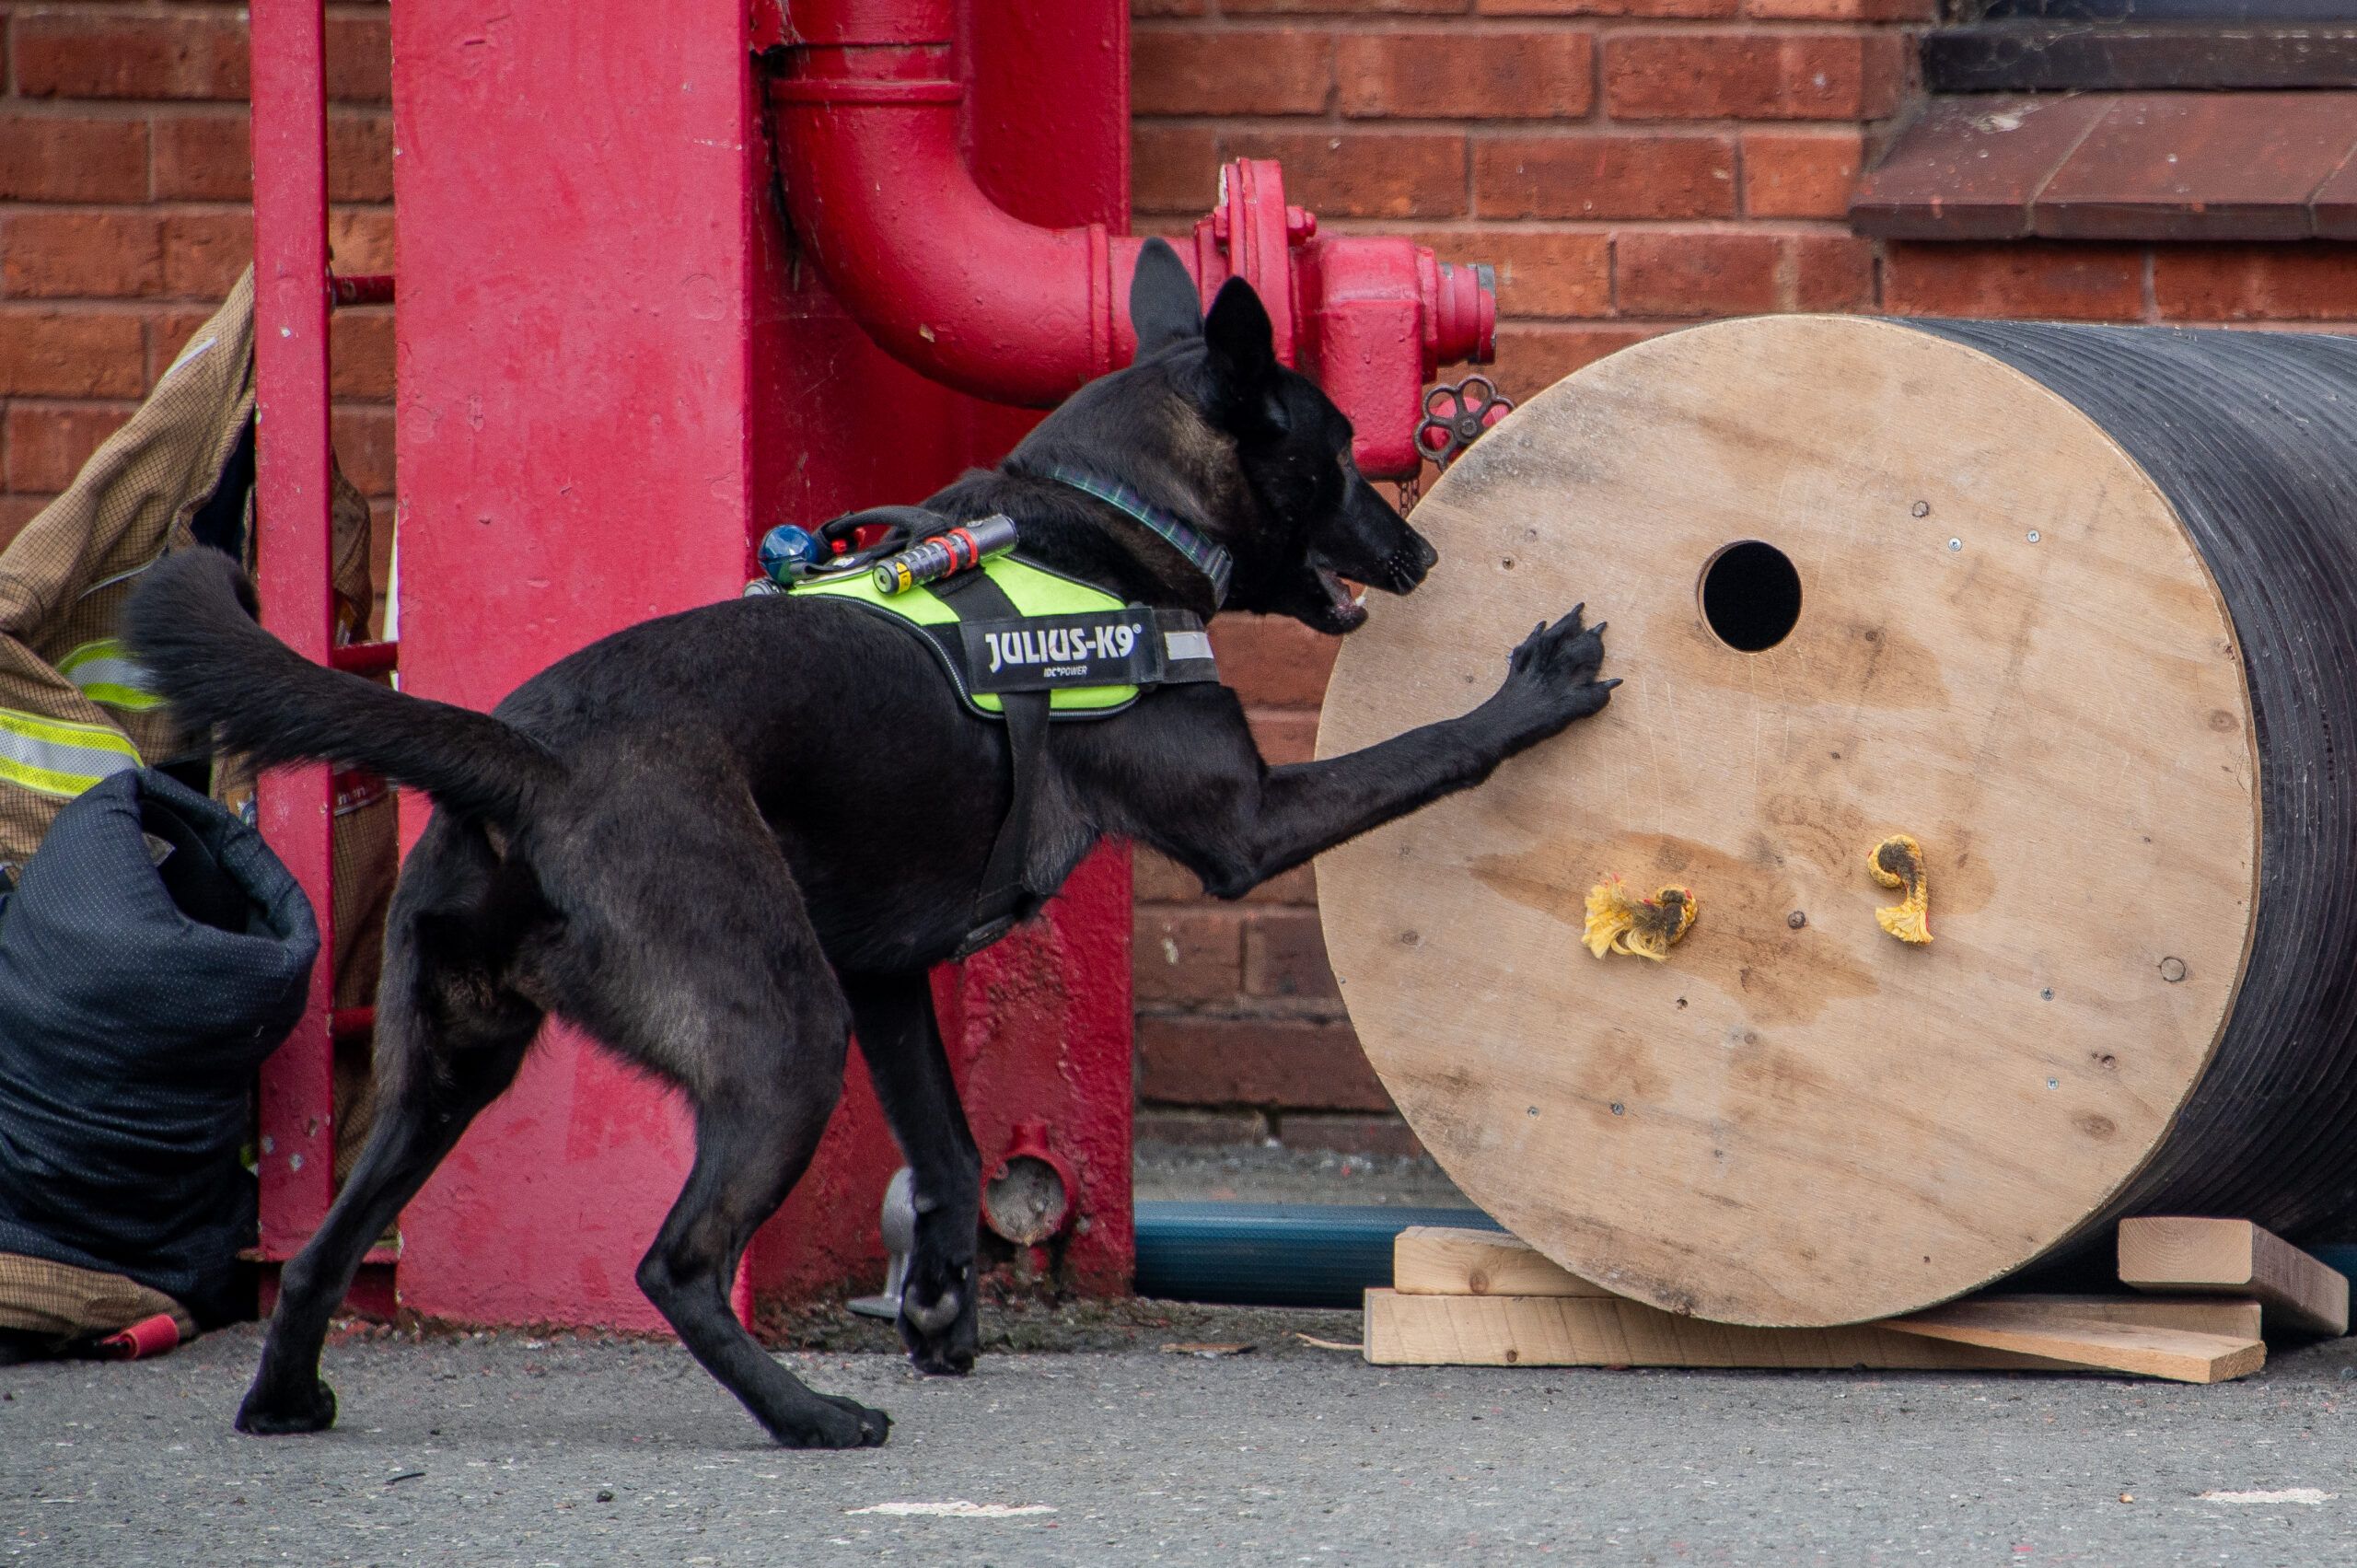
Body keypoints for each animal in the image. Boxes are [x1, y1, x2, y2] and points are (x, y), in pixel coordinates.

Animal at [124, 238, 1602, 1452]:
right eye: (1338, 448)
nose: (1416, 551)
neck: (1107, 521)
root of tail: (525, 757)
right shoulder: (1243, 824)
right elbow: (1420, 751)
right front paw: (1525, 694)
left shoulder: (888, 972)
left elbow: (947, 1153)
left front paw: (943, 1297)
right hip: (783, 1032)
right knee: (674, 1262)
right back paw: (809, 1414)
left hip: (451, 1065)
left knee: (324, 1249)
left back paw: (285, 1396)